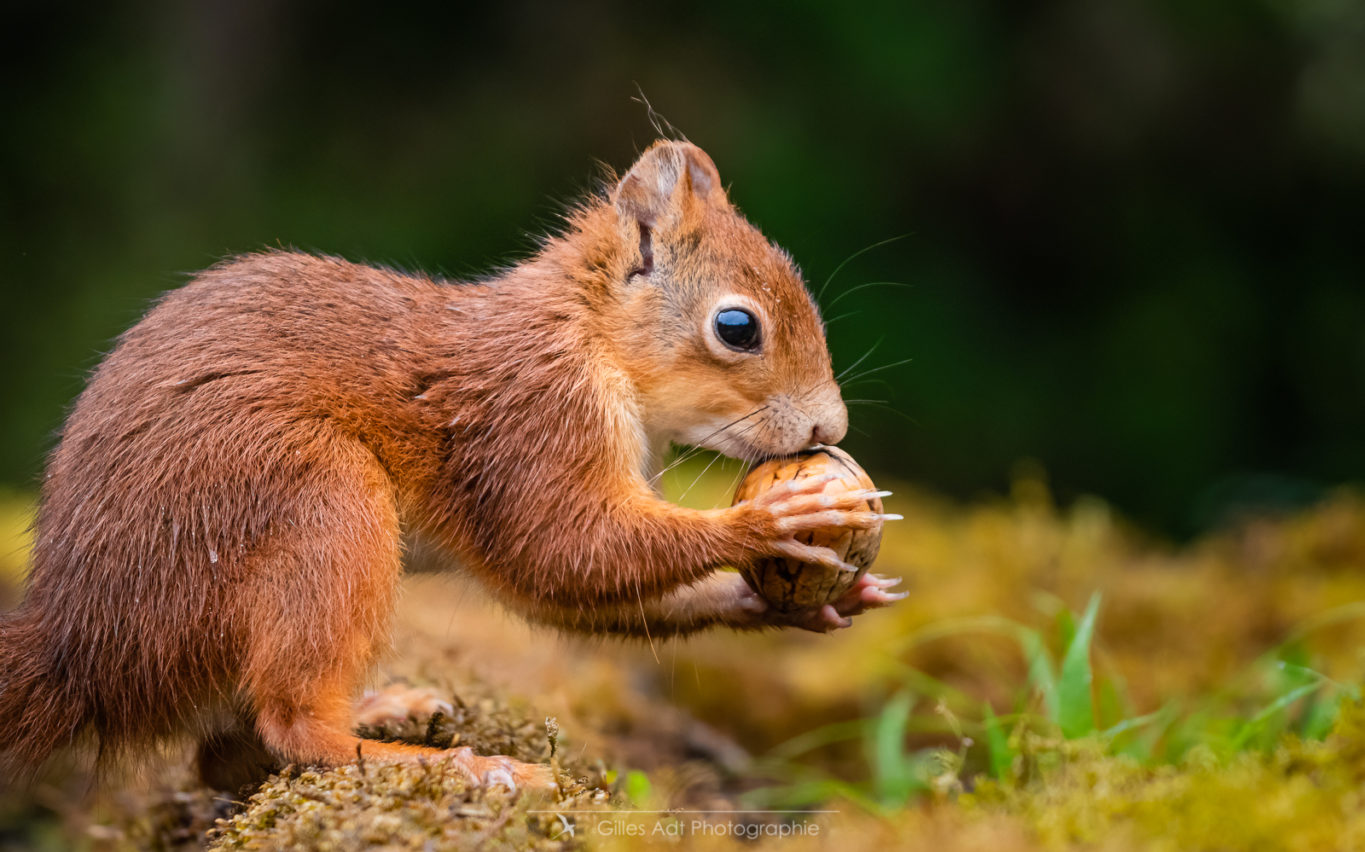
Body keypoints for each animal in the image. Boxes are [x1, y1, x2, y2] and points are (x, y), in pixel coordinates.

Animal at [2, 137, 906, 791]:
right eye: (737, 328)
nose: (830, 424)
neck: (589, 338)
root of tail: (84, 650)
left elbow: (565, 588)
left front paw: (802, 602)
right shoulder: (532, 419)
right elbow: (565, 549)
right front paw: (770, 517)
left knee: (225, 755)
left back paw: (384, 709)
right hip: (314, 499)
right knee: (291, 728)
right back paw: (461, 767)